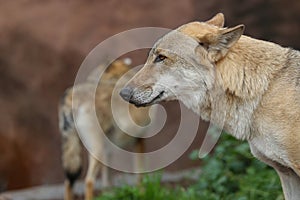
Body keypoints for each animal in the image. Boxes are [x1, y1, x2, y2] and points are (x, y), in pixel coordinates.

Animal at [58, 59, 149, 200]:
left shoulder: (108, 150)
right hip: (96, 151)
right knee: (88, 181)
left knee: (68, 182)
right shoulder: (139, 140)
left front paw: (110, 195)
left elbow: (108, 182)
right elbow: (140, 175)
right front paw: (142, 194)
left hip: (77, 154)